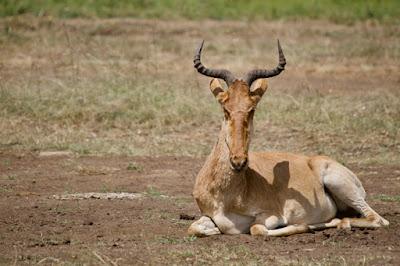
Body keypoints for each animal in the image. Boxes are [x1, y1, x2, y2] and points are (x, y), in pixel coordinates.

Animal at [189, 40, 390, 237]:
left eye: (252, 109)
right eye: (225, 108)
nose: (238, 161)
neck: (229, 194)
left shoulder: (273, 215)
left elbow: (257, 229)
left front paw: (303, 227)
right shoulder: (209, 216)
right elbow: (194, 228)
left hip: (341, 186)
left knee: (378, 220)